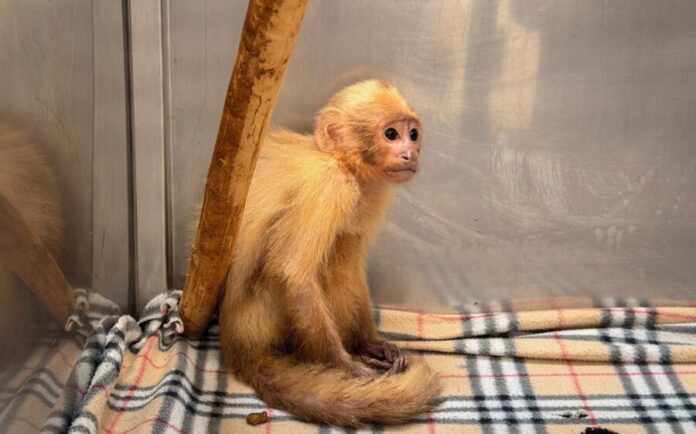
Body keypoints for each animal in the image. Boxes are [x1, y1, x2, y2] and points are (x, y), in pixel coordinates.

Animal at [218, 80, 441, 427]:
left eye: (413, 134)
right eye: (391, 134)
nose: (410, 153)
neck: (341, 162)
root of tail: (238, 342)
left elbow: (354, 261)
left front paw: (369, 343)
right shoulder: (331, 187)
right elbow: (292, 273)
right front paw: (346, 366)